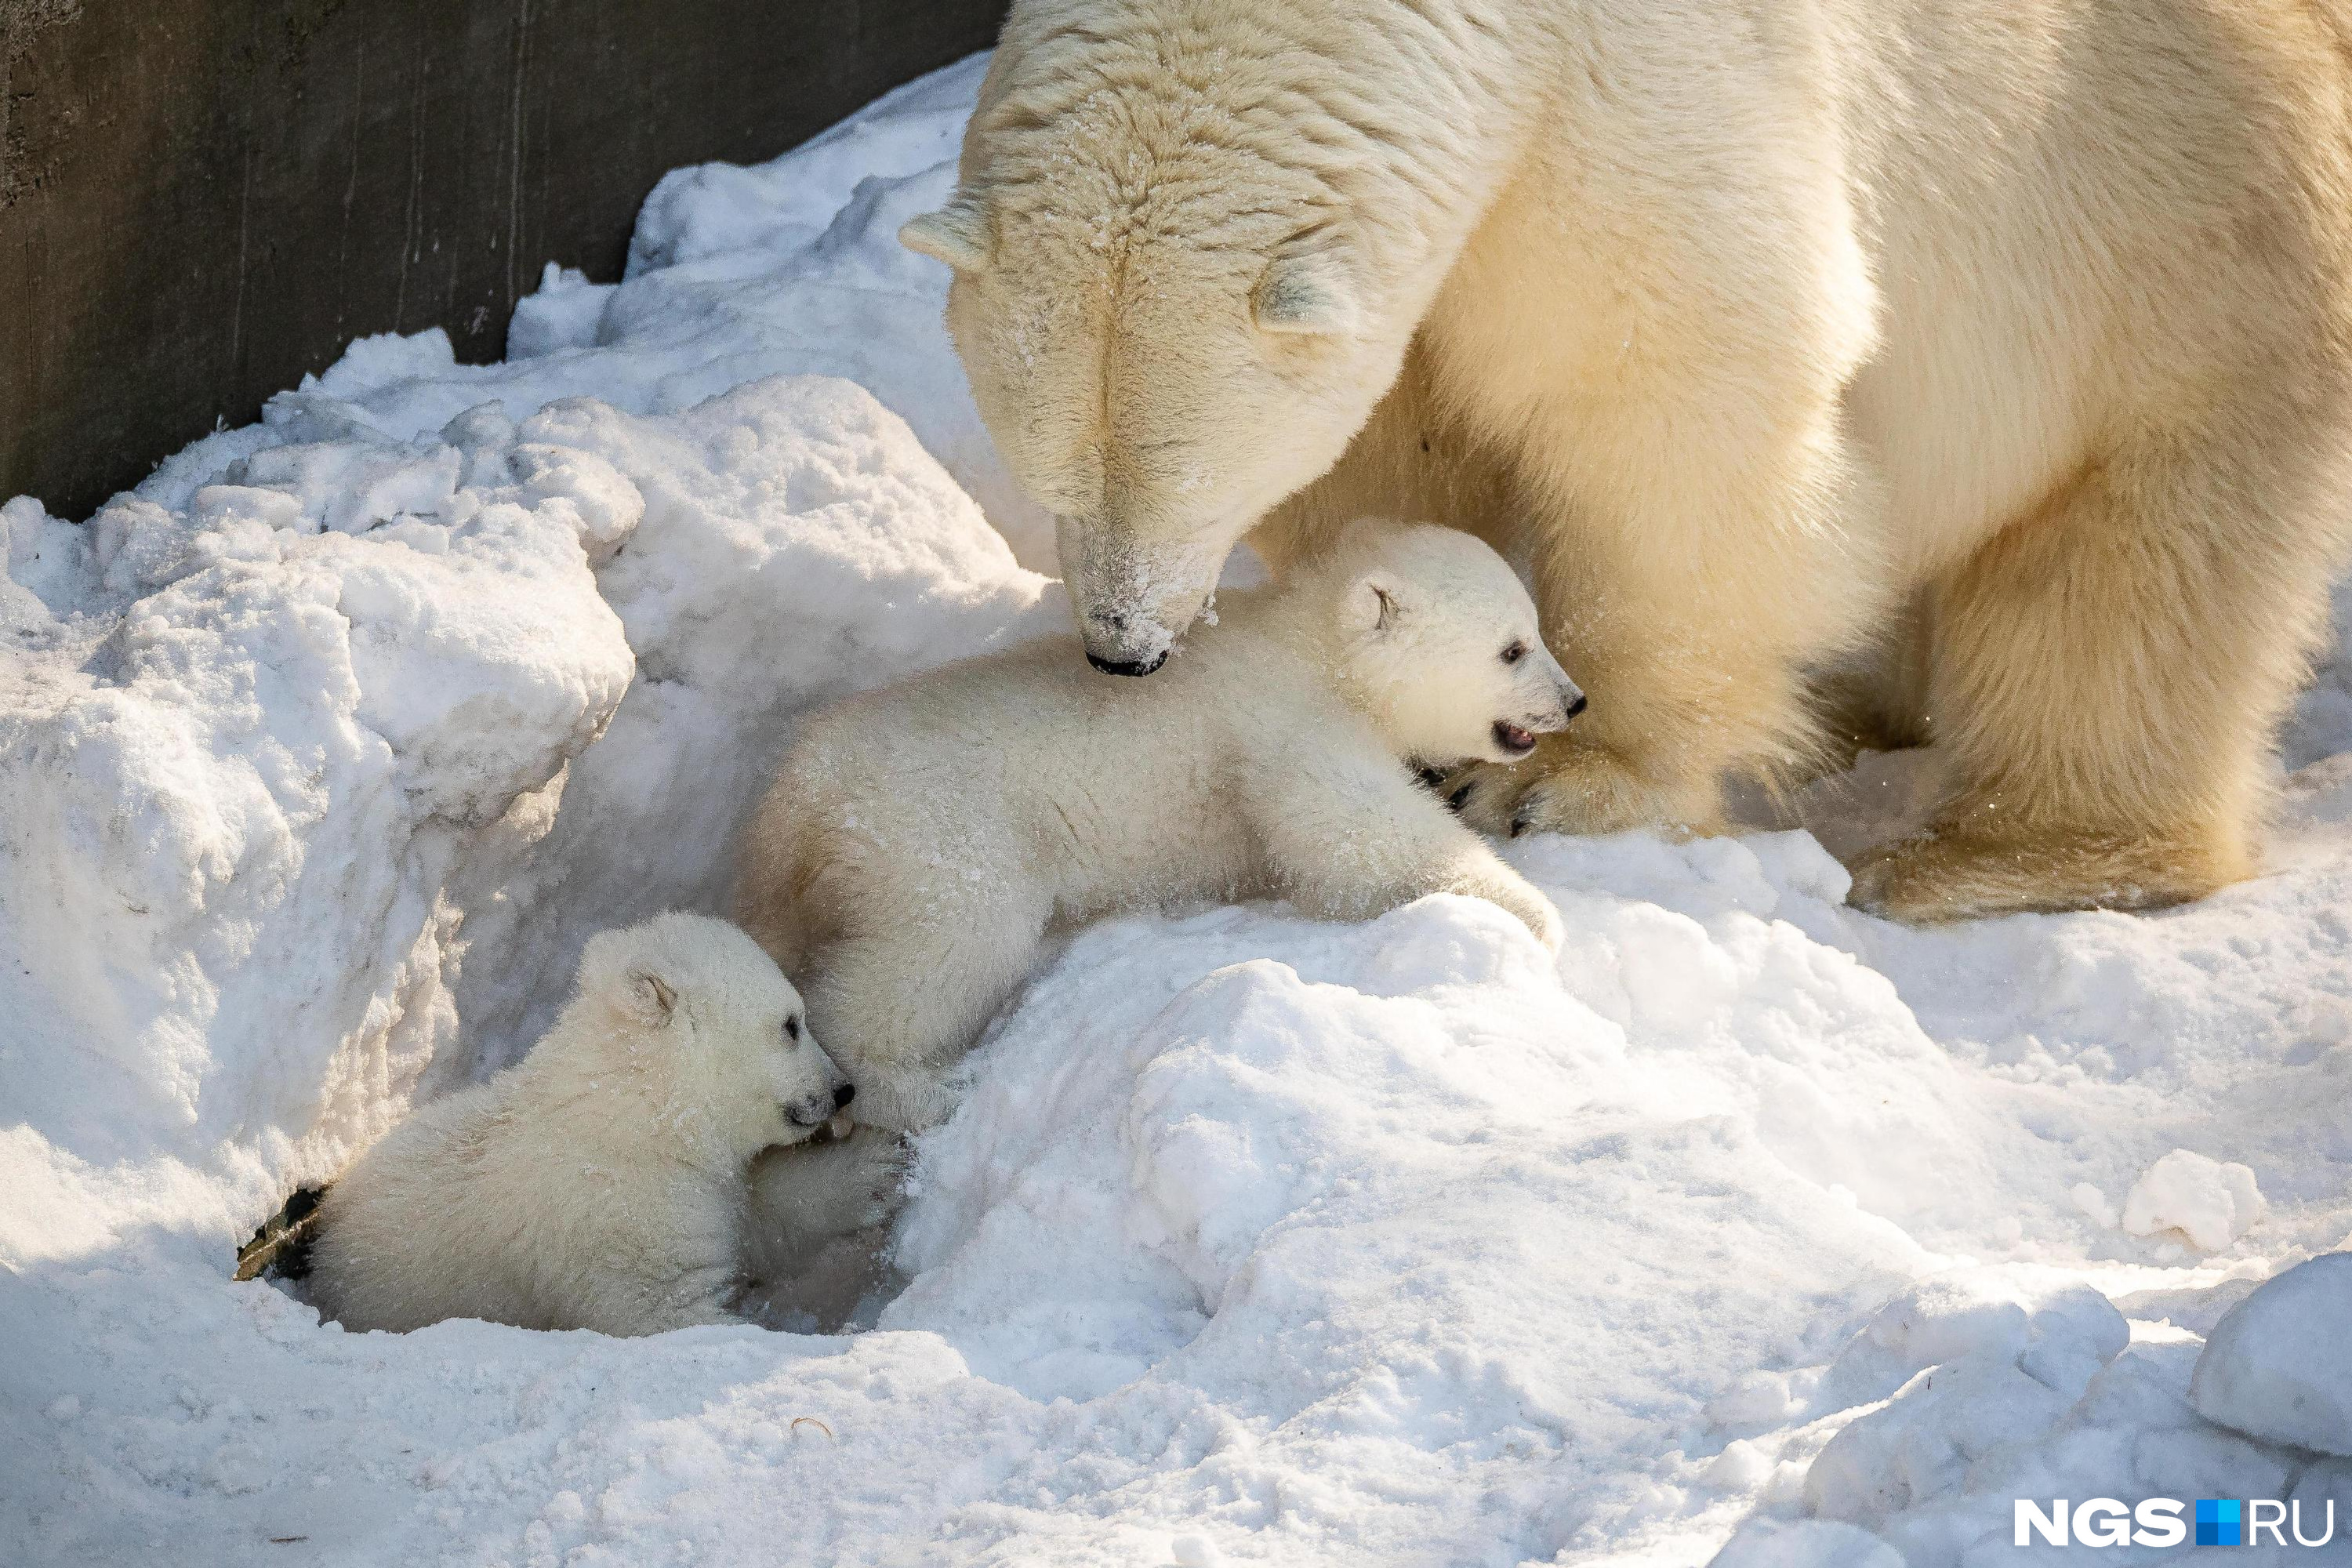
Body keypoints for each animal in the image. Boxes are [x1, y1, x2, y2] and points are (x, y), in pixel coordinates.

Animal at [908, 0, 2352, 921]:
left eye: (1193, 480)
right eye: (1050, 475)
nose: (1123, 652)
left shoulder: (1636, 116)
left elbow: (1675, 410)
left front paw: (1568, 781)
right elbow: (1402, 438)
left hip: (2181, 225)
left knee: (2143, 554)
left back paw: (2004, 857)